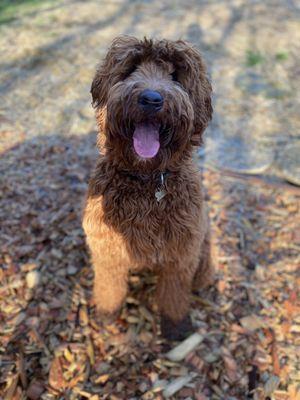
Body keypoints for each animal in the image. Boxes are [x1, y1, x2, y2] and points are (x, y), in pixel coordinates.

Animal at [82, 36, 213, 340]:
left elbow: (174, 295)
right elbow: (109, 287)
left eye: (176, 75)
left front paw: (176, 327)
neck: (147, 180)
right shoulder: (107, 249)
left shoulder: (180, 256)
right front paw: (107, 313)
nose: (151, 99)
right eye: (131, 68)